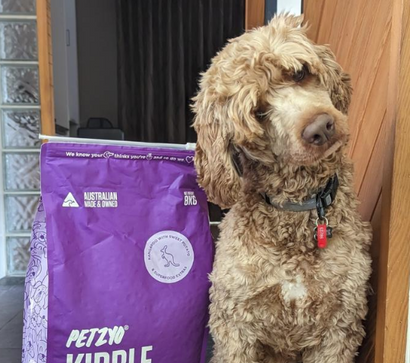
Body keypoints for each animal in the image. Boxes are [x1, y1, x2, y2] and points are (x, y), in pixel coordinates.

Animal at [192, 13, 372, 363]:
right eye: (259, 111)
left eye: (300, 72)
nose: (320, 127)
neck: (298, 209)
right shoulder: (234, 324)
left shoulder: (340, 323)